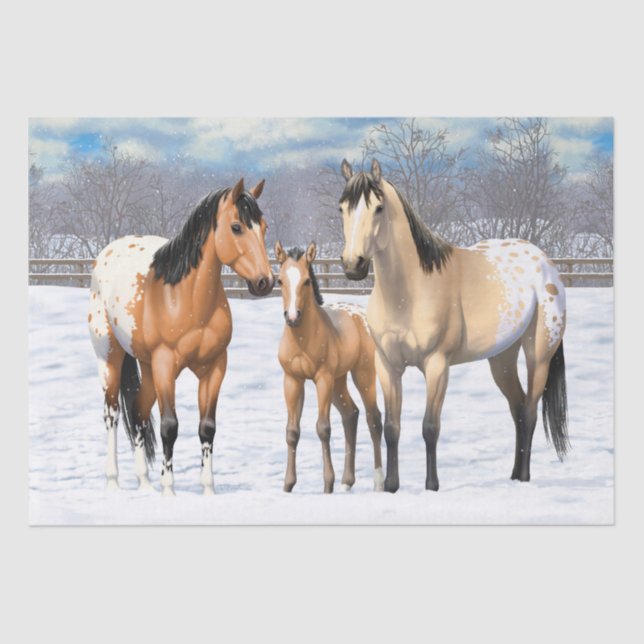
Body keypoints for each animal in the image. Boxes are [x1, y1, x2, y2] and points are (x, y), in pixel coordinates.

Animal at [88, 178, 274, 496]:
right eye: (236, 226)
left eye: (263, 227)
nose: (265, 282)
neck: (185, 299)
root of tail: (107, 252)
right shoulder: (165, 364)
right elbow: (169, 426)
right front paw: (169, 490)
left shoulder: (214, 367)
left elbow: (207, 427)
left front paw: (208, 489)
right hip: (110, 358)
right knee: (112, 414)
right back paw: (113, 481)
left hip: (147, 367)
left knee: (137, 413)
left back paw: (144, 483)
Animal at [275, 241, 384, 493]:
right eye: (280, 280)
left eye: (307, 280)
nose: (292, 317)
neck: (302, 339)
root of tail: (360, 314)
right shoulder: (292, 380)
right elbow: (292, 431)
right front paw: (288, 485)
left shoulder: (322, 378)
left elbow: (323, 428)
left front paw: (328, 484)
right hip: (338, 381)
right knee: (350, 414)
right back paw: (347, 482)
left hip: (362, 374)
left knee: (373, 418)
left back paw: (378, 483)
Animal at [337, 158, 569, 492]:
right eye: (342, 207)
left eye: (378, 208)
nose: (352, 265)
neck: (409, 292)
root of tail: (545, 262)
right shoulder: (387, 365)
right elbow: (392, 427)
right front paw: (392, 486)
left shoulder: (437, 365)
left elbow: (430, 427)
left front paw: (431, 486)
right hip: (501, 359)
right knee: (517, 409)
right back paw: (513, 475)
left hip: (538, 356)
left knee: (529, 410)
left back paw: (524, 478)